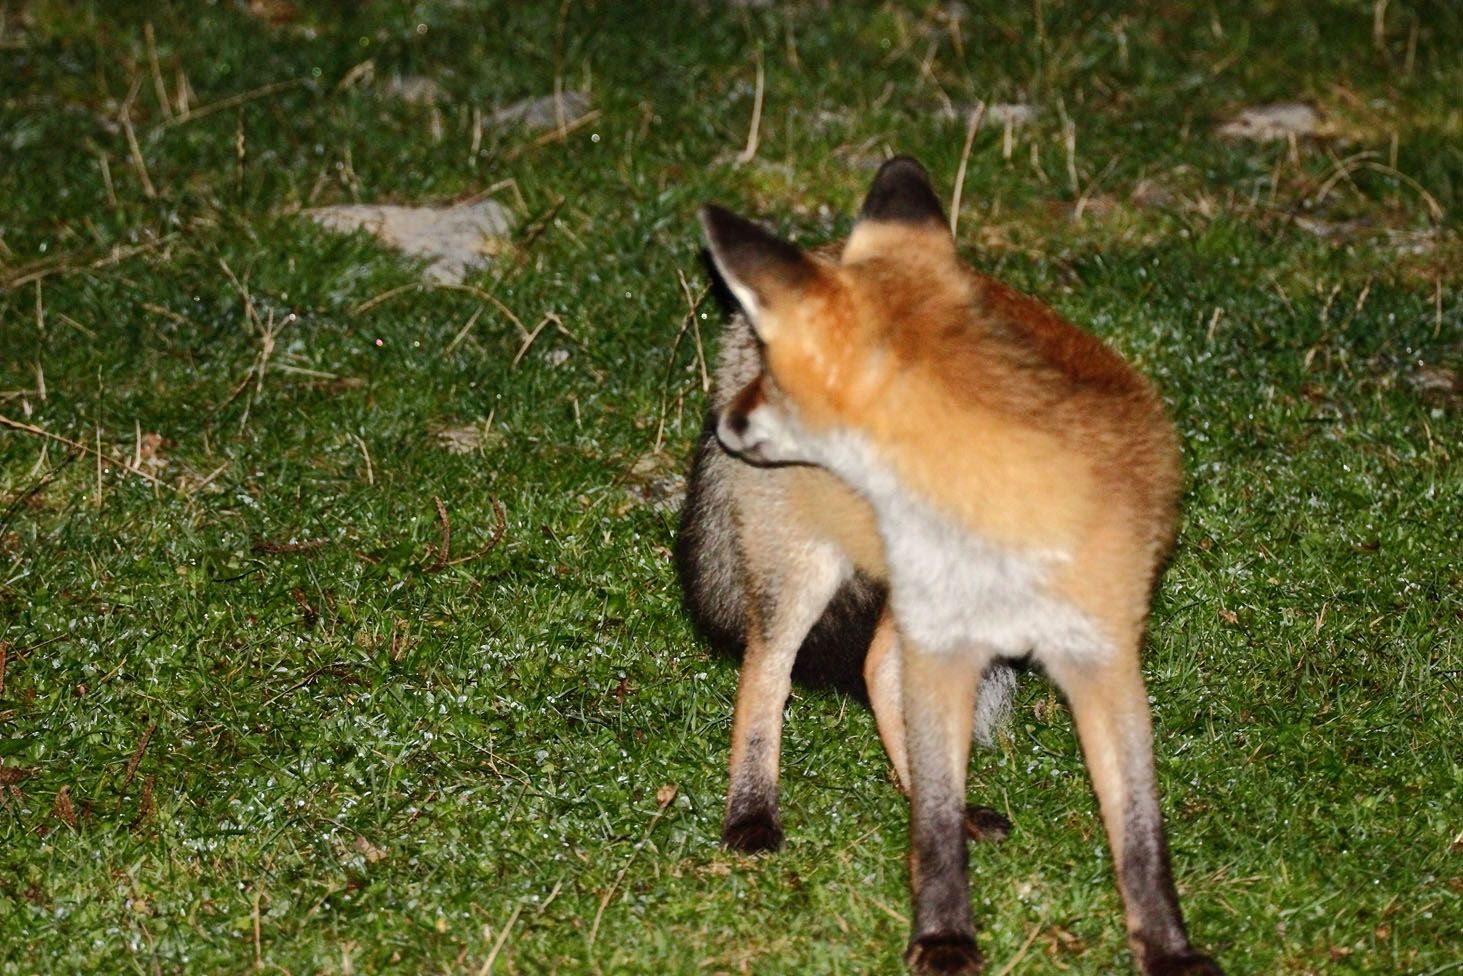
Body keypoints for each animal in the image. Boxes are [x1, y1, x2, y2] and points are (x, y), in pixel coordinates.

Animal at [684, 160, 1223, 976]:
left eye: (779, 381)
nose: (722, 424)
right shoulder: (942, 650)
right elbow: (934, 833)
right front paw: (943, 938)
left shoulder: (1104, 656)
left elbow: (1140, 831)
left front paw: (1168, 949)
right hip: (803, 568)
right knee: (767, 670)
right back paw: (752, 812)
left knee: (874, 666)